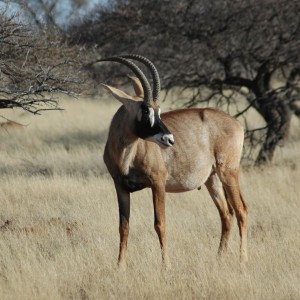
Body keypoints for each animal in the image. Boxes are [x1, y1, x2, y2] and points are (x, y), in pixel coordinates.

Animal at [99, 54, 248, 268]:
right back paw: (219, 258)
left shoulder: (158, 183)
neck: (126, 155)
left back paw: (242, 259)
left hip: (228, 172)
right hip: (212, 179)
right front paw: (120, 266)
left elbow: (159, 223)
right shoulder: (120, 187)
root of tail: (236, 122)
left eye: (158, 110)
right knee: (227, 214)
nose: (169, 139)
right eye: (145, 110)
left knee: (241, 210)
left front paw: (166, 266)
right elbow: (123, 226)